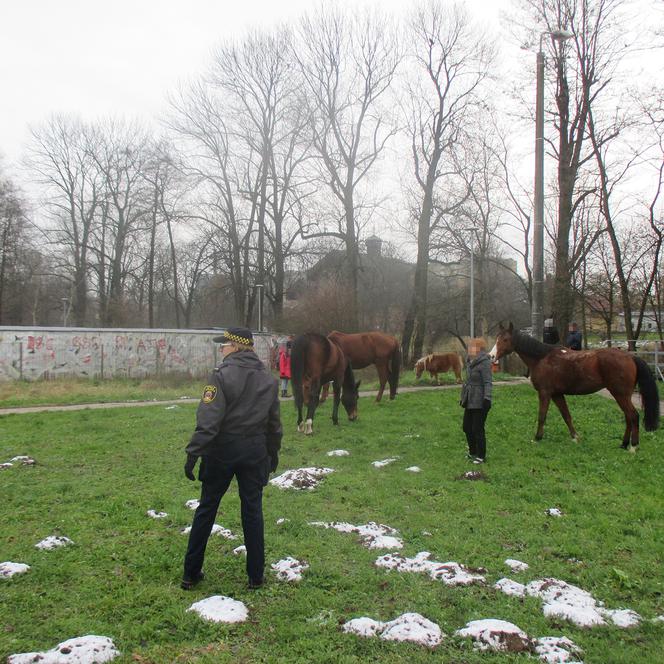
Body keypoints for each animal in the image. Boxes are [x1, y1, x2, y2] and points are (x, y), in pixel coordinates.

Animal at [488, 322, 660, 452]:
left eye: (505, 339)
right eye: (497, 338)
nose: (491, 356)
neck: (542, 358)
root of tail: (630, 356)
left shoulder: (545, 393)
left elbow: (542, 415)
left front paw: (537, 438)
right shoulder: (557, 394)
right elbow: (566, 415)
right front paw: (575, 437)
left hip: (620, 395)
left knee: (633, 416)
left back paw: (633, 446)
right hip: (622, 396)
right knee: (628, 417)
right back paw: (624, 444)